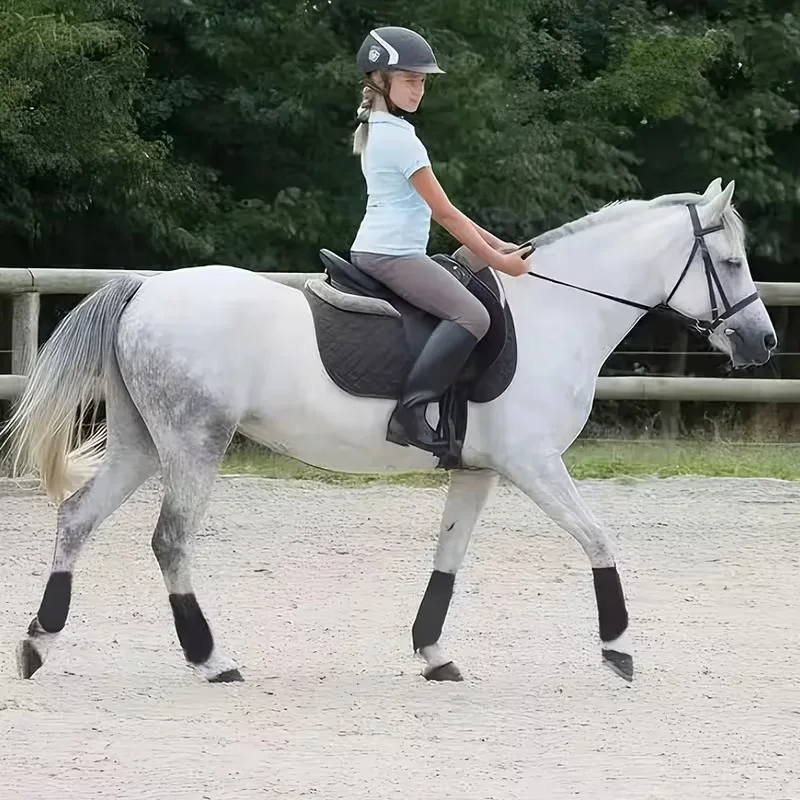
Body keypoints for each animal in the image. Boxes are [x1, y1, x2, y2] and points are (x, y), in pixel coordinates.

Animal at [0, 178, 776, 686]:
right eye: (731, 262)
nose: (763, 343)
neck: (558, 312)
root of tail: (146, 287)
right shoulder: (532, 462)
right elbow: (598, 538)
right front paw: (616, 648)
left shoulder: (479, 468)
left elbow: (449, 558)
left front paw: (433, 653)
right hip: (195, 442)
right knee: (170, 541)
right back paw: (210, 658)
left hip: (142, 444)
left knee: (77, 519)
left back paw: (39, 643)